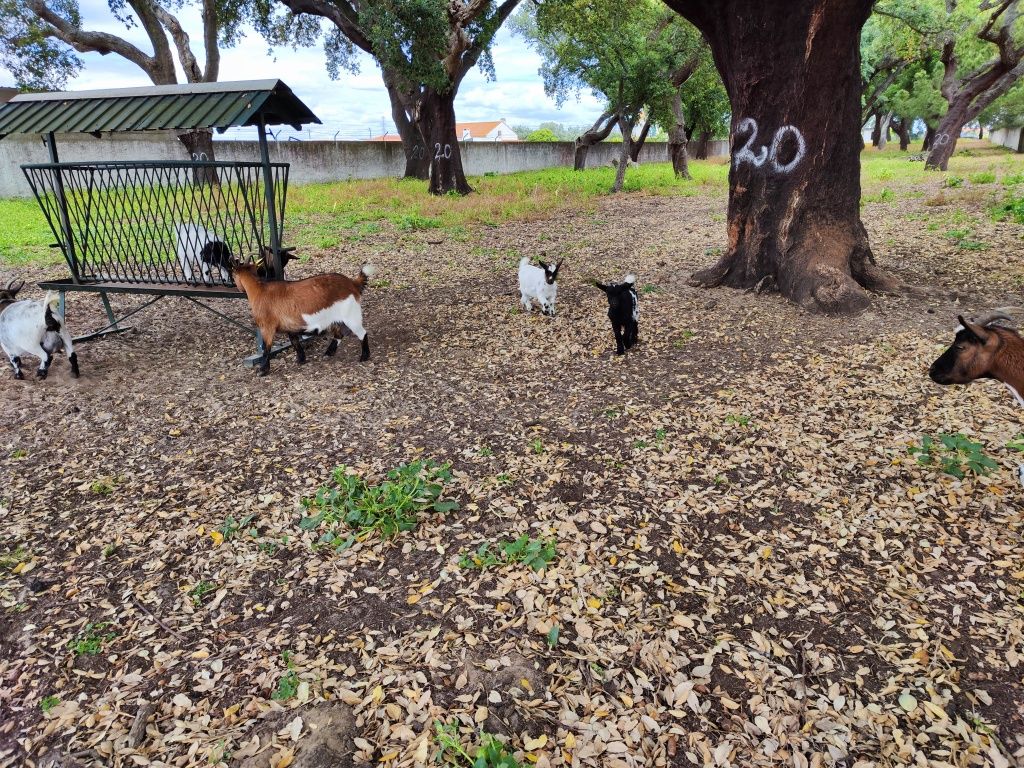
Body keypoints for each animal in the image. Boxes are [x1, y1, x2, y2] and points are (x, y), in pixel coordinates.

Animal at [230, 262, 374, 376]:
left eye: (233, 275)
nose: (236, 287)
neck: (260, 290)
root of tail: (352, 283)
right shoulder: (290, 325)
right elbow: (294, 341)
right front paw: (301, 360)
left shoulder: (267, 326)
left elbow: (266, 348)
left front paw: (262, 371)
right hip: (336, 319)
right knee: (339, 334)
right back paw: (328, 353)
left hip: (351, 315)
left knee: (362, 333)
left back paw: (364, 356)